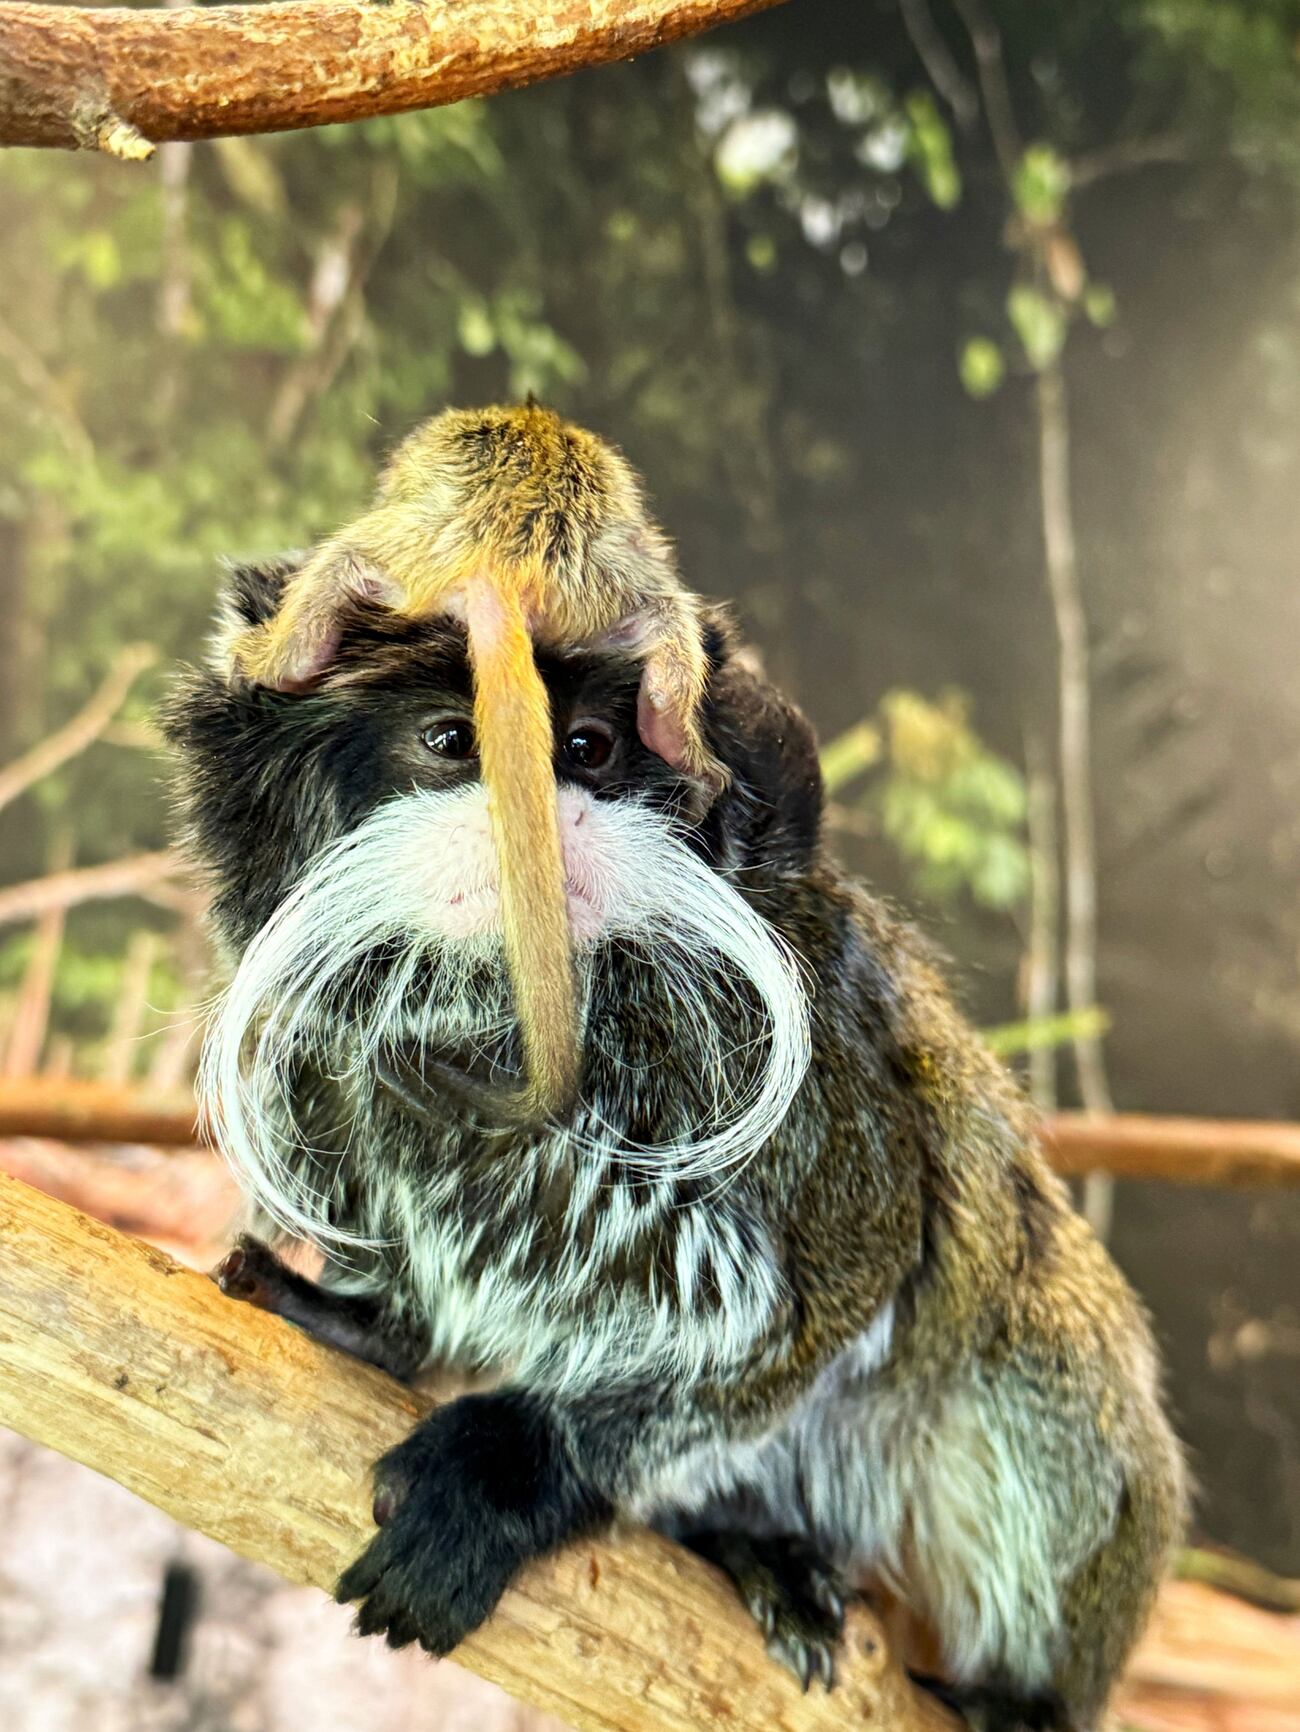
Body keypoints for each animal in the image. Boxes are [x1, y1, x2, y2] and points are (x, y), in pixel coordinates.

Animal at [165, 557, 1185, 1732]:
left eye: (586, 747)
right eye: (452, 739)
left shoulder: (798, 1067)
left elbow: (844, 1280)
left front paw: (511, 1475)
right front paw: (374, 1329)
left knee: (1036, 1366)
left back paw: (1016, 1689)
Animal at [231, 402, 720, 1130]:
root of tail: (508, 560)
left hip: (405, 552)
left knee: (342, 565)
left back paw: (275, 659)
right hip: (612, 590)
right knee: (665, 619)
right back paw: (680, 742)